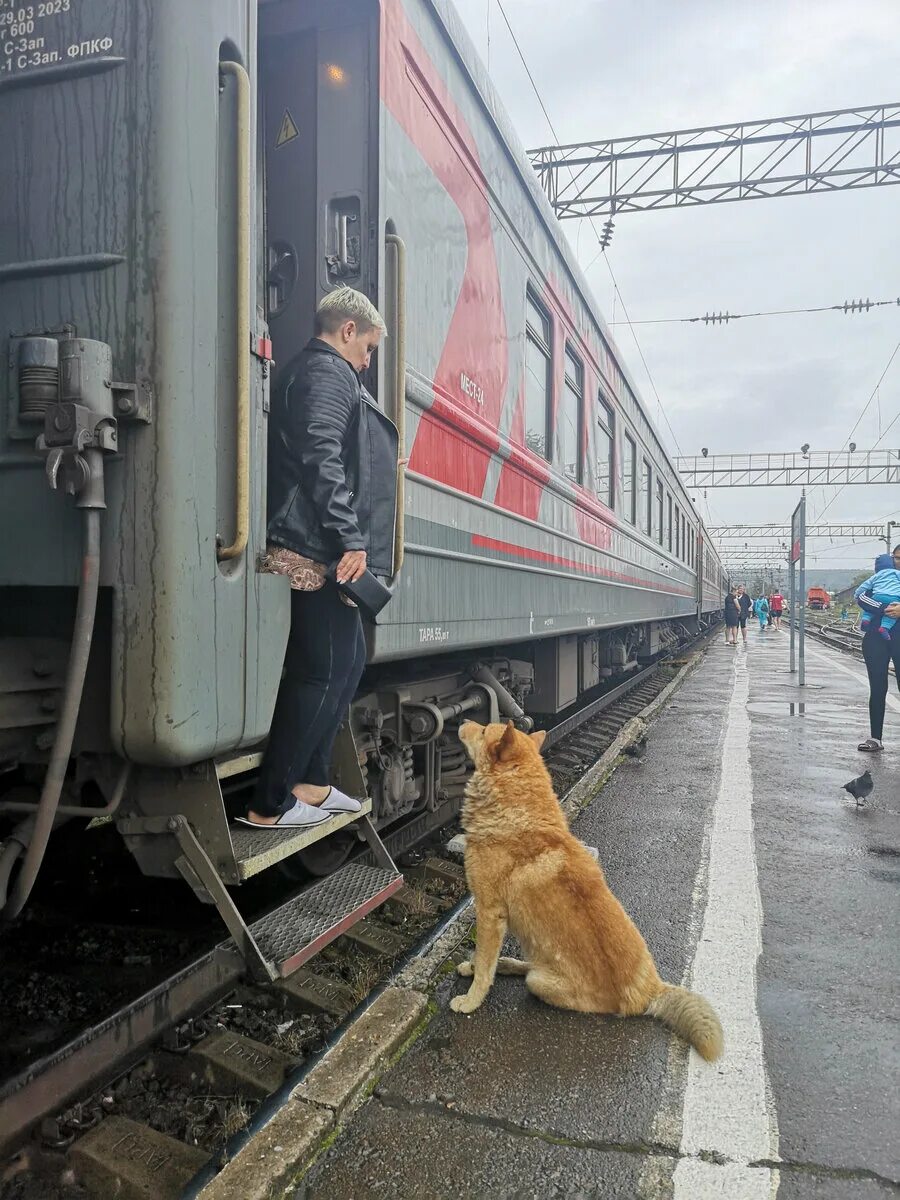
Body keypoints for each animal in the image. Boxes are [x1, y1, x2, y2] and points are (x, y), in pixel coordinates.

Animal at [451, 710, 724, 1060]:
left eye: (484, 730)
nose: (462, 720)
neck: (517, 812)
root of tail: (652, 990)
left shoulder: (489, 912)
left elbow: (485, 967)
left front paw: (471, 999)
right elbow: (485, 960)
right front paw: (475, 968)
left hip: (540, 981)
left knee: (531, 976)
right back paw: (508, 964)